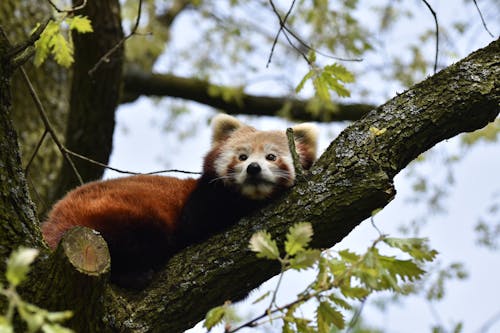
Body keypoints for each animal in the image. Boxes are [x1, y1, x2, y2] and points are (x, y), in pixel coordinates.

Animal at [41, 113, 318, 286]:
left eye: (271, 156)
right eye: (242, 157)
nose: (253, 168)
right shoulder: (202, 200)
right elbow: (196, 224)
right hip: (113, 214)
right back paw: (134, 274)